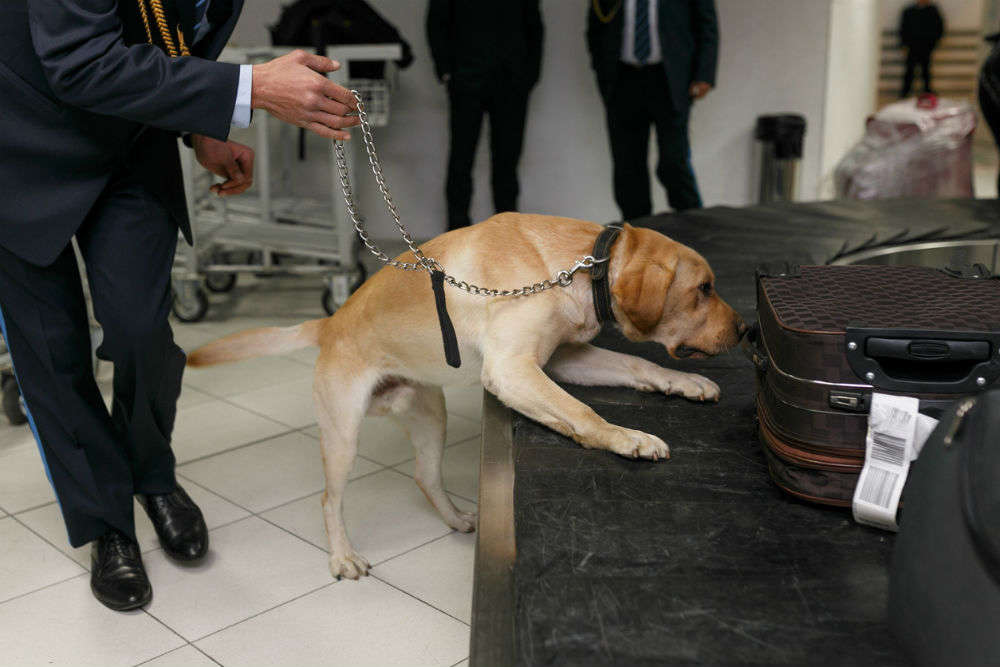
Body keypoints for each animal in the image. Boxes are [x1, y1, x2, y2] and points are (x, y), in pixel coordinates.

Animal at [191, 214, 748, 580]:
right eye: (704, 289)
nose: (746, 330)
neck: (577, 264)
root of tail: (330, 322)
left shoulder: (562, 359)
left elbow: (637, 366)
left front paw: (685, 382)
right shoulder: (513, 370)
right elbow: (581, 413)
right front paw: (627, 438)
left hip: (429, 415)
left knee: (425, 476)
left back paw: (456, 517)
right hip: (343, 435)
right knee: (330, 500)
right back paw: (342, 555)